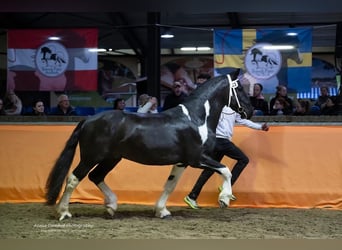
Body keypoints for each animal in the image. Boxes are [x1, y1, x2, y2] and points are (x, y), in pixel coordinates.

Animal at [45, 69, 252, 220]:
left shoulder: (182, 162)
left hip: (112, 158)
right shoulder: (197, 159)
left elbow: (170, 185)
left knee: (96, 176)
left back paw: (111, 206)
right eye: (240, 88)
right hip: (91, 157)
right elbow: (226, 170)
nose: (250, 110)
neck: (196, 117)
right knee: (74, 178)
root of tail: (87, 120)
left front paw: (162, 211)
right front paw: (224, 199)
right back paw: (64, 212)